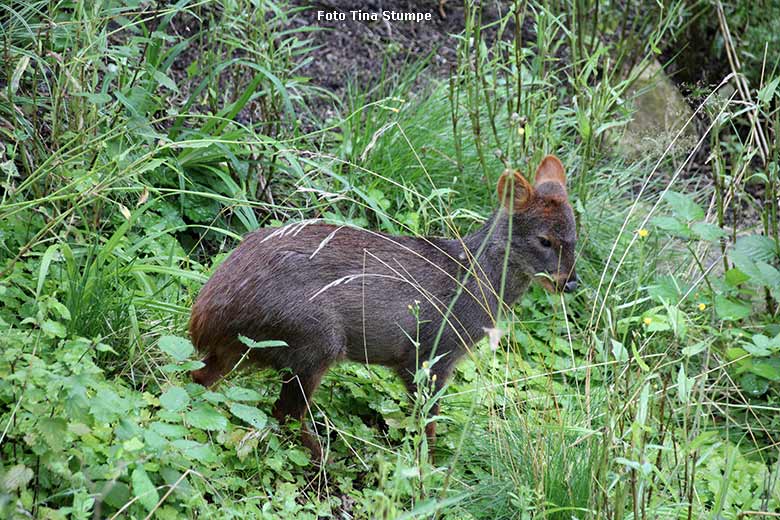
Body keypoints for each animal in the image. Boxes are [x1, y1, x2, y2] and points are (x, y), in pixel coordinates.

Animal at [190, 155, 580, 464]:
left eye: (576, 238)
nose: (570, 283)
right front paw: (430, 472)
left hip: (245, 350)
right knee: (284, 412)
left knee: (201, 381)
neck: (472, 283)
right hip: (314, 339)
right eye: (544, 240)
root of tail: (205, 315)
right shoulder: (428, 353)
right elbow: (427, 423)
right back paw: (325, 462)